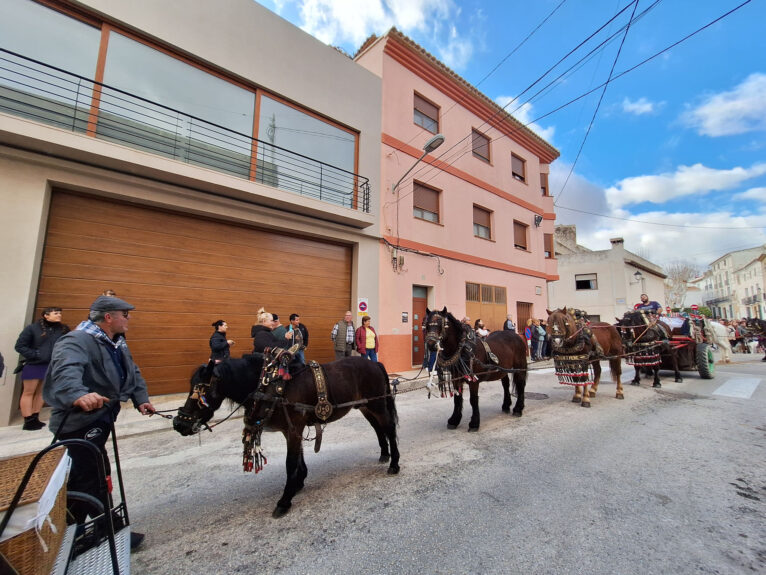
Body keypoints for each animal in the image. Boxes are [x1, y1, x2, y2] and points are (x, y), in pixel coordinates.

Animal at [176, 354, 402, 520]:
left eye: (200, 390)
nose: (179, 423)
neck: (272, 386)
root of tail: (375, 363)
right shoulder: (292, 430)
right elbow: (298, 458)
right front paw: (299, 482)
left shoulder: (293, 429)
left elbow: (290, 462)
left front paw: (284, 500)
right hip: (365, 406)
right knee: (377, 428)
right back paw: (385, 454)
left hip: (377, 404)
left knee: (389, 428)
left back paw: (394, 463)